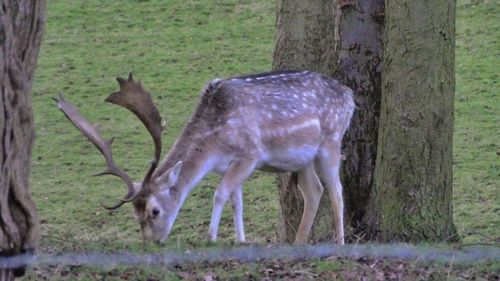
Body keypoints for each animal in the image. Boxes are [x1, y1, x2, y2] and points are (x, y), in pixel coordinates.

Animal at [54, 70, 354, 245]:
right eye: (134, 214)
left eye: (155, 210)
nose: (152, 243)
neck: (215, 146)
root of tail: (350, 96)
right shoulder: (229, 165)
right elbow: (236, 201)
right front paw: (241, 241)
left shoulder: (250, 154)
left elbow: (220, 194)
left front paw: (211, 237)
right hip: (302, 158)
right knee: (313, 190)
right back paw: (298, 244)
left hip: (330, 141)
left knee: (336, 191)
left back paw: (339, 243)